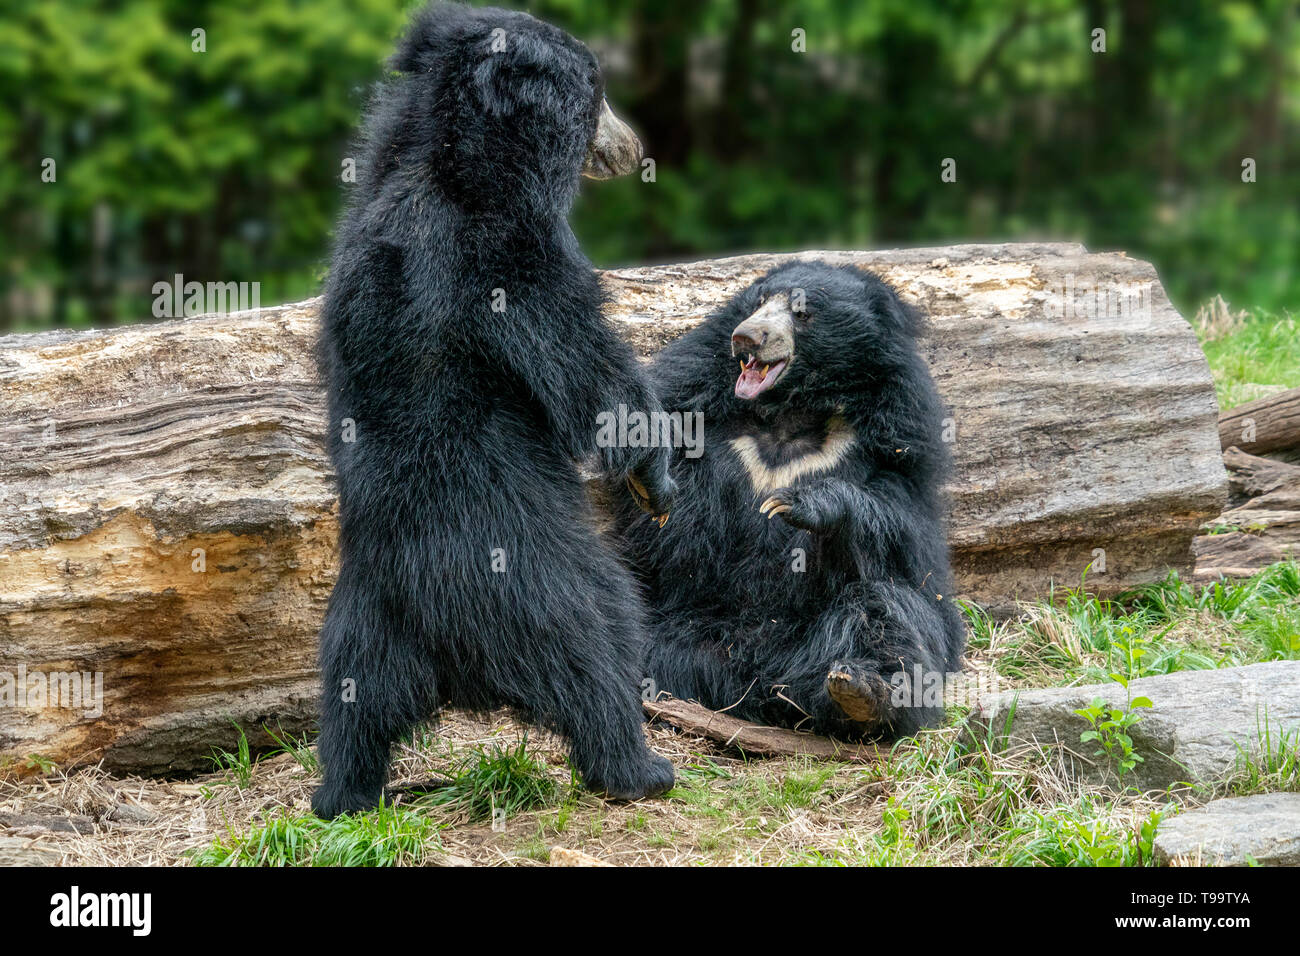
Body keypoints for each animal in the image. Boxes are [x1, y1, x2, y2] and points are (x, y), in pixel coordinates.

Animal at [616, 261, 967, 738]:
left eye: (802, 314)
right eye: (759, 301)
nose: (745, 337)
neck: (790, 412)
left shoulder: (897, 448)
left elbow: (905, 539)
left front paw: (797, 504)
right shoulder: (698, 410)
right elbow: (675, 536)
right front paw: (650, 478)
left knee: (885, 607)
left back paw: (862, 690)